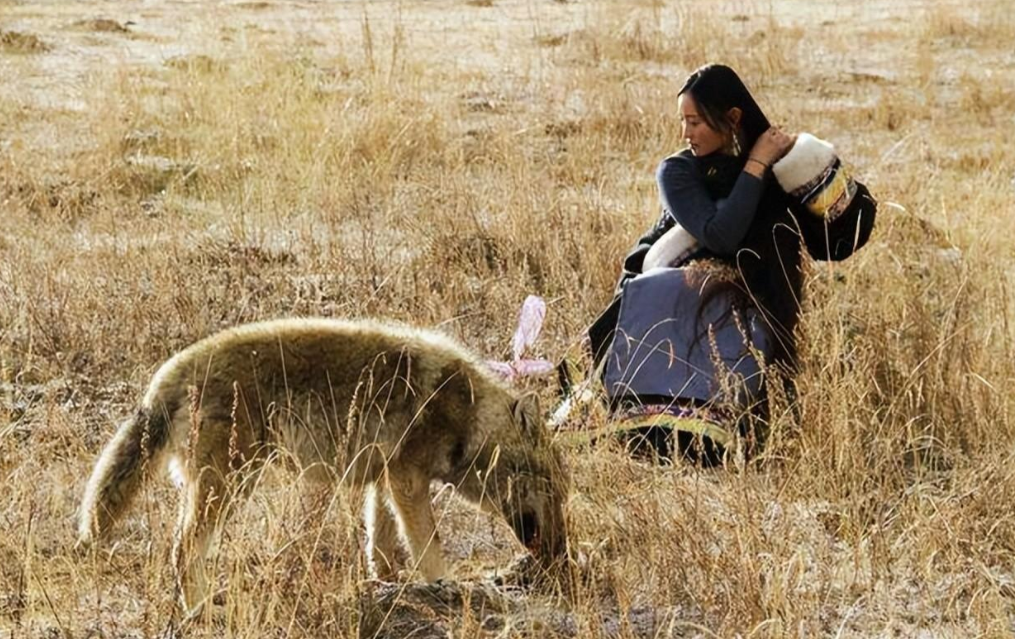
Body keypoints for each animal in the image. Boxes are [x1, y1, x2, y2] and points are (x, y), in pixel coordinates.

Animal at [77, 318, 572, 612]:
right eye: (553, 493)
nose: (560, 556)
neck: (465, 414)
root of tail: (167, 375)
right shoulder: (408, 481)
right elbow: (428, 549)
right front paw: (447, 590)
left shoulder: (383, 482)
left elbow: (381, 551)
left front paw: (390, 592)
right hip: (229, 487)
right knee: (181, 551)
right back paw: (198, 610)